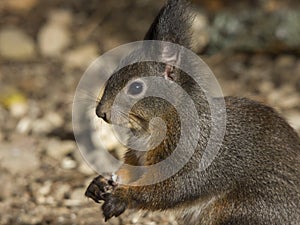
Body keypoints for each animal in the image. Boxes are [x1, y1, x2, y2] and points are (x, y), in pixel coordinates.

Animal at [84, 0, 300, 224]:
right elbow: (131, 169)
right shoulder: (139, 156)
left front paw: (122, 196)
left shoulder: (191, 156)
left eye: (136, 88)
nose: (100, 112)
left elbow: (168, 189)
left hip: (242, 210)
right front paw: (100, 183)